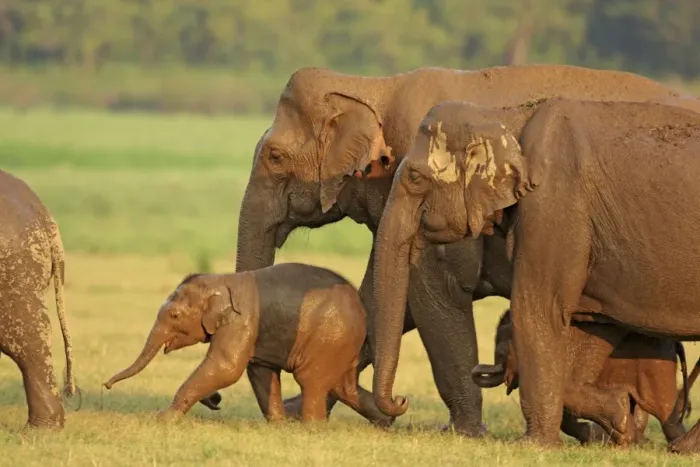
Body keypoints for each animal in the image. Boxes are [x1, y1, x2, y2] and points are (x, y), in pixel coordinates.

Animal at [103, 263, 394, 426]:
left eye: (174, 315)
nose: (105, 385)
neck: (220, 280)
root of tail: (362, 311)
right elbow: (260, 371)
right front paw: (277, 426)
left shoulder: (241, 321)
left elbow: (227, 367)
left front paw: (163, 418)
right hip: (341, 344)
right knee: (343, 386)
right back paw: (387, 419)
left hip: (329, 336)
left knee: (312, 380)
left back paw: (312, 428)